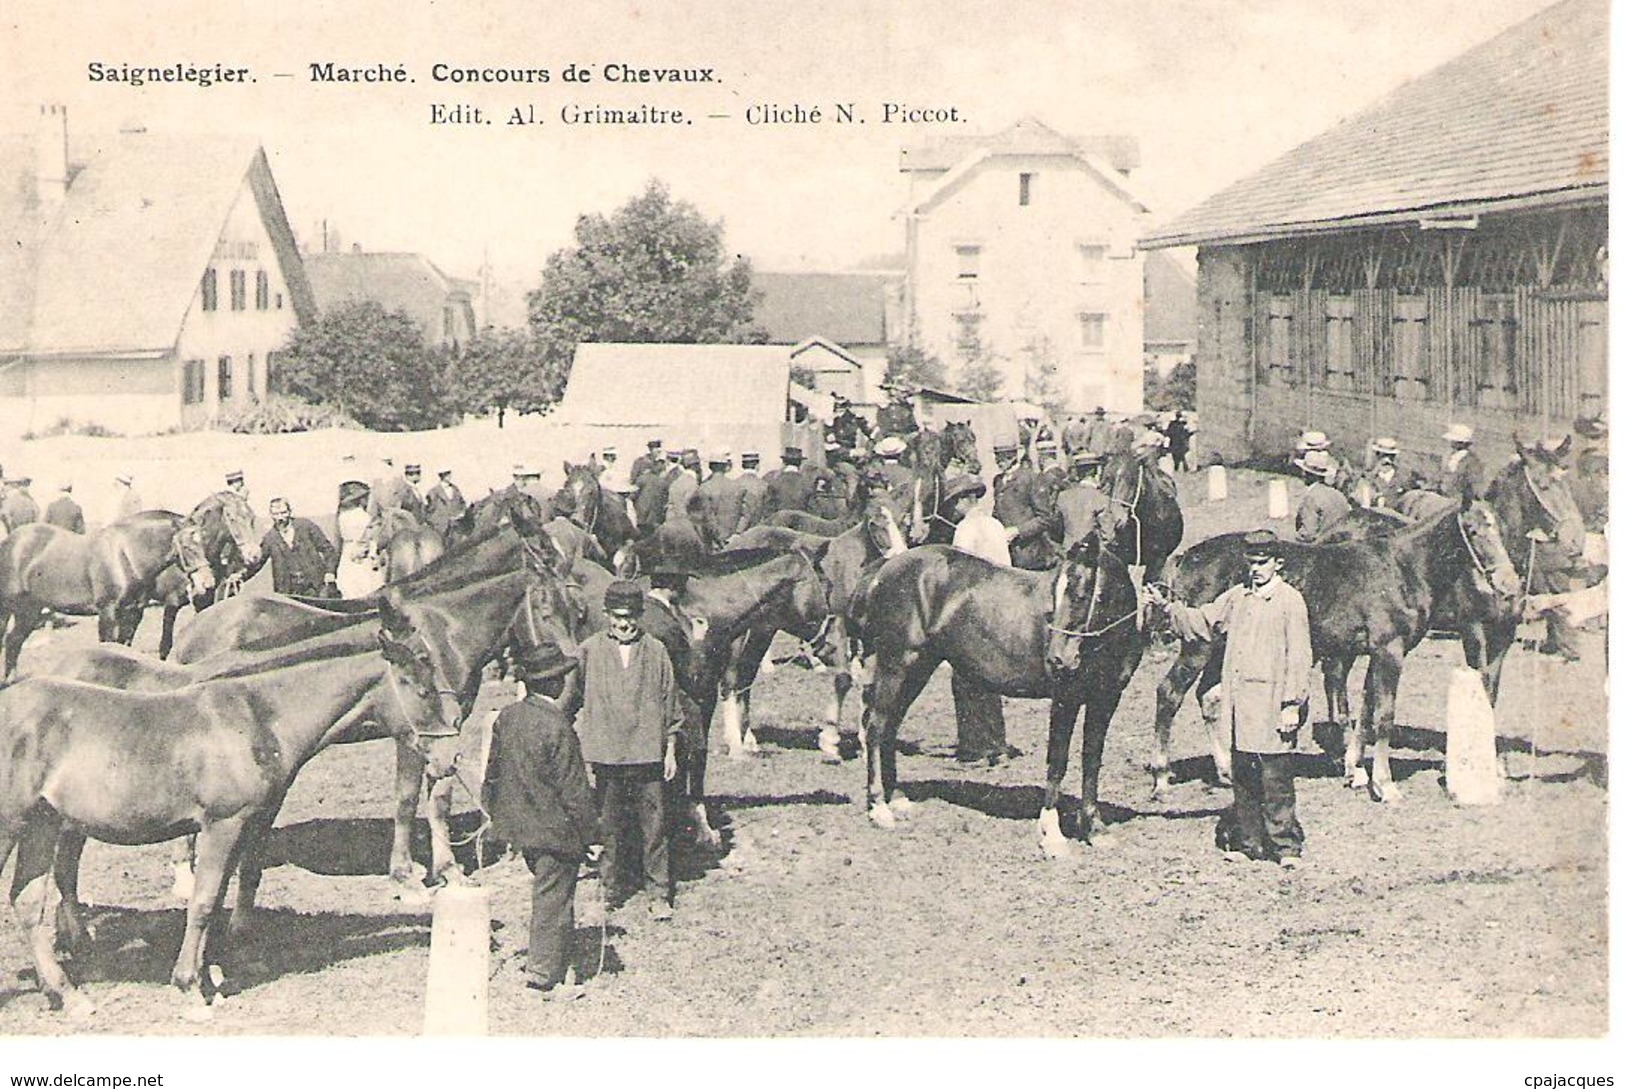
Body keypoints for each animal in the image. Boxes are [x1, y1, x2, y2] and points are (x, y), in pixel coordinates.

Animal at [0, 510, 186, 672]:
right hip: (8, 608)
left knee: (13, 642)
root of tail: (10, 541)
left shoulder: (132, 612)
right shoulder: (108, 611)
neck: (125, 554)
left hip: (29, 610)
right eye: (188, 544)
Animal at [0, 630, 458, 1027]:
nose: (449, 759)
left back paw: (67, 995)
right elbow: (203, 903)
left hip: (43, 824)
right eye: (423, 691)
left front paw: (210, 976)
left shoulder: (243, 825)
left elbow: (219, 895)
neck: (259, 718)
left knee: (27, 902)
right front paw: (189, 989)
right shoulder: (223, 823)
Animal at [851, 542, 1144, 858]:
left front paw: (1094, 829)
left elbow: (1092, 760)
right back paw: (879, 808)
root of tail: (886, 567)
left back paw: (896, 798)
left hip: (919, 668)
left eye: (1081, 595)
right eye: (1056, 594)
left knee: (889, 727)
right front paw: (1052, 836)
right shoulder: (1066, 698)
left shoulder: (1106, 699)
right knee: (875, 728)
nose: (1057, 660)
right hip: (897, 665)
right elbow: (1058, 761)